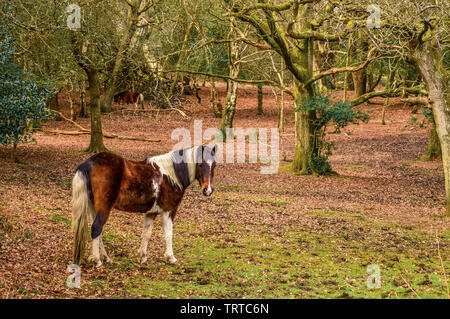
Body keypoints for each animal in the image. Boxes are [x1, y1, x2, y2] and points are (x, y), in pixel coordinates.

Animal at [71, 146, 216, 268]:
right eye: (200, 164)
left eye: (214, 165)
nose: (208, 190)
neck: (170, 176)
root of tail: (88, 164)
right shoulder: (169, 211)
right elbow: (168, 233)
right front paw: (171, 258)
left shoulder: (150, 213)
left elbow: (146, 234)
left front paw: (143, 257)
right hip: (104, 208)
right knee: (96, 228)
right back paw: (97, 260)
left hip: (93, 208)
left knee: (98, 231)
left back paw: (106, 259)